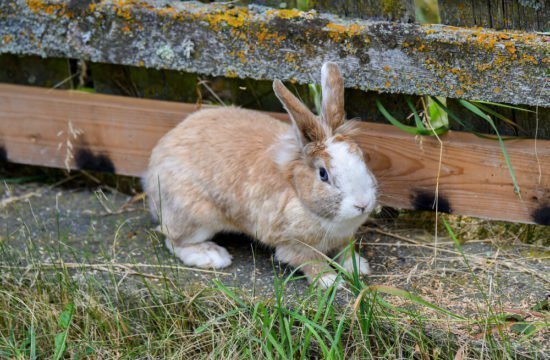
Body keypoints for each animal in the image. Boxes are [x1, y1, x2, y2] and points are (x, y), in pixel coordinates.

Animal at [143, 61, 380, 286]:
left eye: (362, 157)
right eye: (323, 174)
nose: (362, 204)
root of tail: (152, 170)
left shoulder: (344, 237)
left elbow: (345, 251)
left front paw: (358, 267)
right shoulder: (291, 243)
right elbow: (310, 261)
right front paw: (330, 281)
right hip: (196, 217)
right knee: (173, 240)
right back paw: (212, 256)